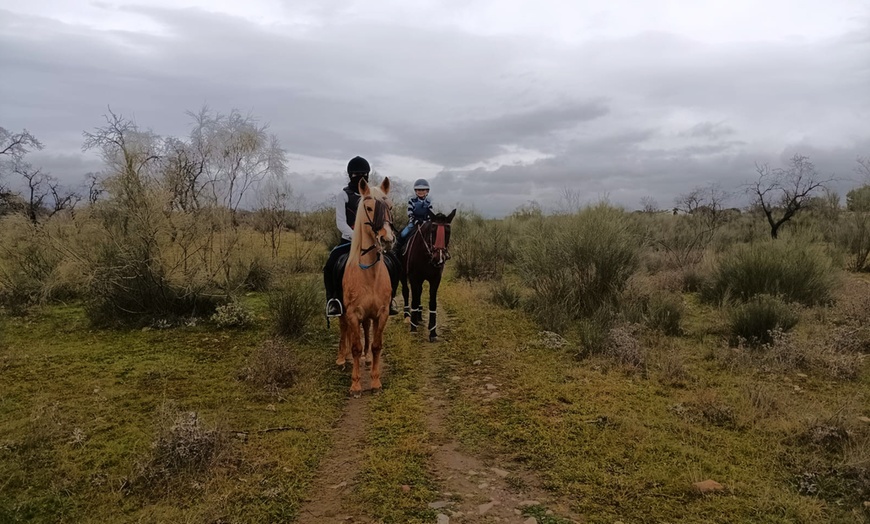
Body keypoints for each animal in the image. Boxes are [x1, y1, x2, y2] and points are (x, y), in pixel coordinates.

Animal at [335, 177, 395, 397]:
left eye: (390, 207)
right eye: (369, 208)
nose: (387, 239)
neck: (369, 275)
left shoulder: (382, 313)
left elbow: (376, 345)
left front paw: (376, 382)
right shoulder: (352, 313)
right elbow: (355, 346)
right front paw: (355, 385)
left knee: (367, 329)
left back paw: (367, 358)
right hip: (342, 311)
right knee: (343, 328)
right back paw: (341, 358)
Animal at [398, 209, 456, 342]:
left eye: (448, 231)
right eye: (433, 230)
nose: (438, 258)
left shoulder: (435, 280)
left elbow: (432, 303)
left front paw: (433, 331)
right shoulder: (414, 278)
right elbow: (414, 300)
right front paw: (413, 328)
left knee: (419, 292)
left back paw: (418, 317)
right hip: (403, 275)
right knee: (406, 292)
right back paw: (407, 316)